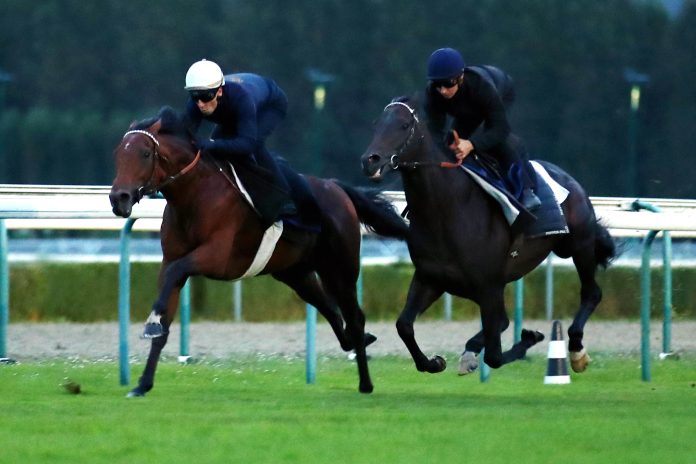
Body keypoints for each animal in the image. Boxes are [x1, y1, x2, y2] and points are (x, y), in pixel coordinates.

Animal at [109, 106, 408, 396]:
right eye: (118, 153)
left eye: (145, 153)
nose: (118, 198)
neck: (195, 197)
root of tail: (338, 188)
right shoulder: (170, 258)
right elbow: (166, 305)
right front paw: (143, 382)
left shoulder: (218, 258)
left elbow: (177, 270)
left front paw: (151, 323)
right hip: (296, 274)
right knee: (331, 309)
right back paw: (357, 345)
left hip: (340, 269)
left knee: (354, 317)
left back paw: (366, 382)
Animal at [358, 97, 616, 376]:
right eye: (376, 124)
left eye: (404, 125)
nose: (370, 161)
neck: (448, 210)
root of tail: (568, 178)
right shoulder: (431, 278)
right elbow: (404, 325)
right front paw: (434, 362)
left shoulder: (489, 286)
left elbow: (494, 355)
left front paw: (526, 339)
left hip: (580, 245)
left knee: (591, 293)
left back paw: (577, 350)